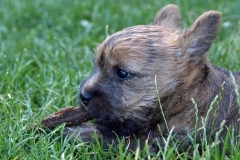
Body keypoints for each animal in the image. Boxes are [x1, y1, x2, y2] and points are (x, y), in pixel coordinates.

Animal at [62, 3, 239, 151]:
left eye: (122, 73)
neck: (187, 99)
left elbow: (117, 140)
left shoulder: (162, 144)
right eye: (97, 65)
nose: (83, 96)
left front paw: (76, 132)